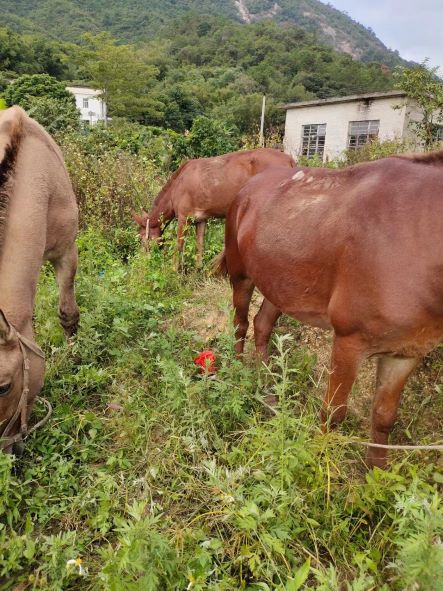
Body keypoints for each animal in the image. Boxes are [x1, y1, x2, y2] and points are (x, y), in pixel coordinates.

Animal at [134, 148, 296, 268]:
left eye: (142, 238)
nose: (142, 261)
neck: (176, 186)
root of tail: (290, 160)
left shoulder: (183, 217)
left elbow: (178, 246)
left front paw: (173, 272)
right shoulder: (200, 219)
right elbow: (199, 247)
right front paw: (198, 272)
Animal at [220, 155, 443, 470]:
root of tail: (245, 189)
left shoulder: (405, 353)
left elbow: (384, 418)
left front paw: (376, 474)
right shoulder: (349, 342)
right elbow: (333, 413)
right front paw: (318, 464)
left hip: (280, 286)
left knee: (261, 325)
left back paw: (270, 390)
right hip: (242, 276)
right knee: (239, 325)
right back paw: (239, 374)